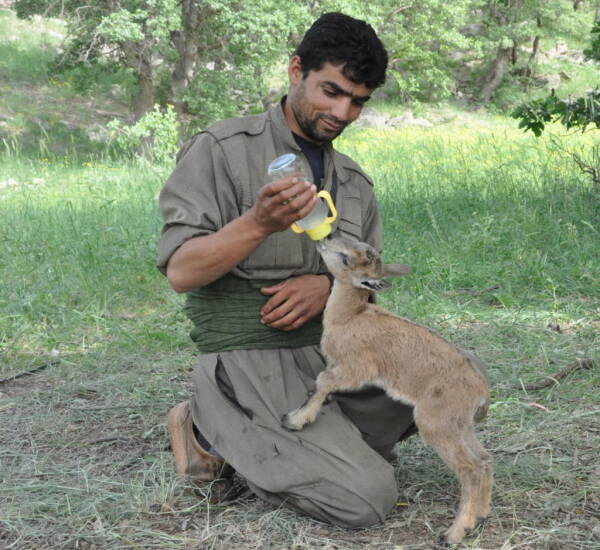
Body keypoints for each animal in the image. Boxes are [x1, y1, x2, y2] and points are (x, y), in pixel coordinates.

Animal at [282, 237, 492, 548]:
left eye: (346, 258)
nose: (324, 239)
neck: (349, 318)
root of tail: (480, 394)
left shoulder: (356, 369)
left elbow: (323, 380)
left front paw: (295, 420)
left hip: (436, 422)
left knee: (470, 468)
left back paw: (454, 532)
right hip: (460, 426)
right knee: (485, 460)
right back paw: (482, 513)